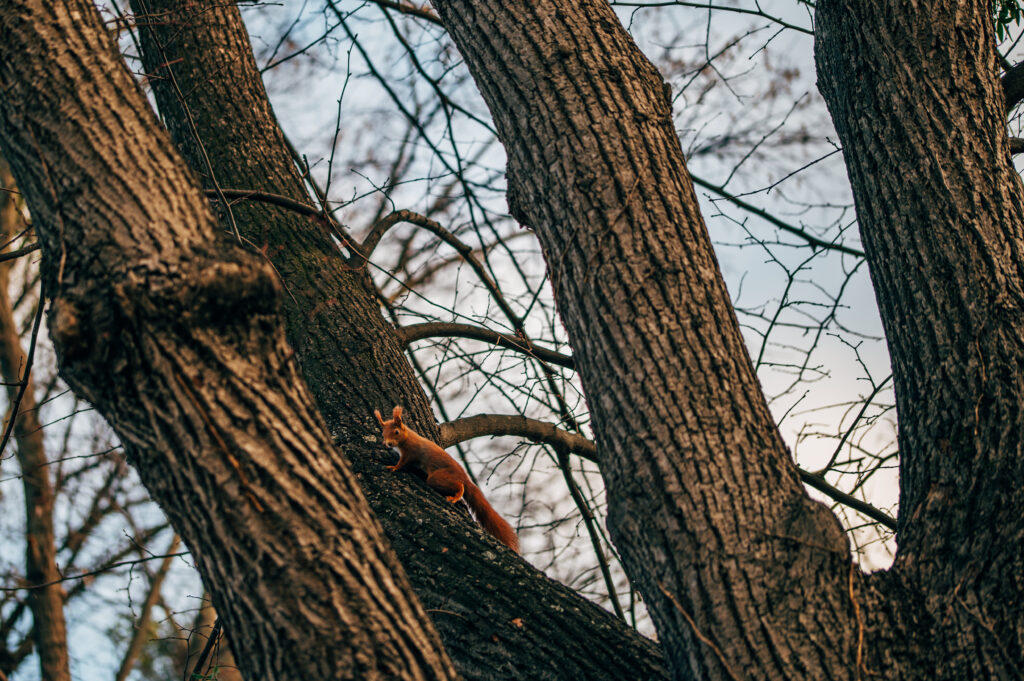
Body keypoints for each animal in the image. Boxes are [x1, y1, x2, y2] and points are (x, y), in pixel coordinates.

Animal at [374, 406, 519, 553]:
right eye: (383, 434)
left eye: (396, 432)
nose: (388, 444)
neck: (408, 437)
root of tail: (464, 477)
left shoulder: (411, 453)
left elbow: (403, 463)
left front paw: (394, 467)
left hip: (438, 478)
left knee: (460, 486)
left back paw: (456, 496)